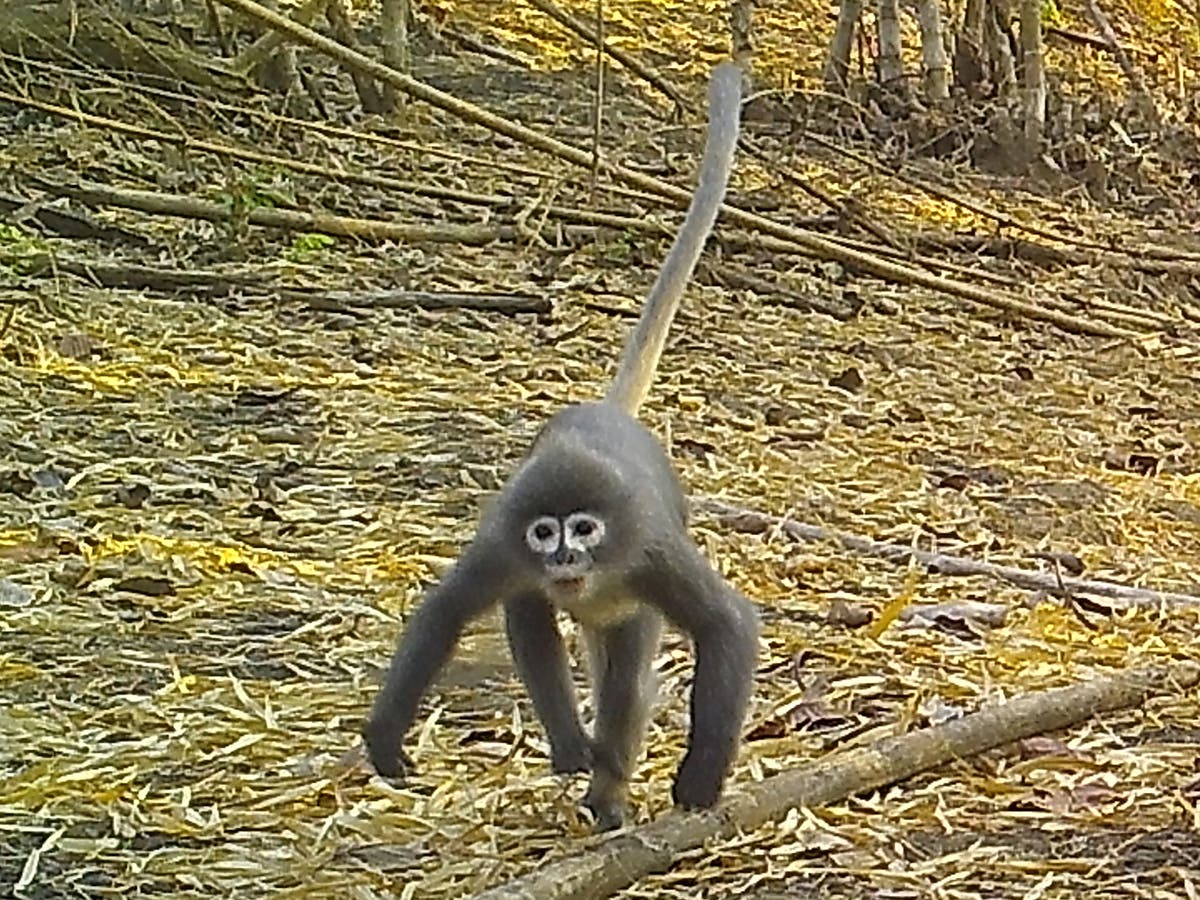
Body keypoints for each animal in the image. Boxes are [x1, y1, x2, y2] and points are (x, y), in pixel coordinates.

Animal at [363, 61, 758, 831]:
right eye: (546, 533)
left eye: (585, 530)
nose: (565, 558)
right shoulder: (504, 543)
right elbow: (446, 612)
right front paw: (386, 735)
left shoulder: (648, 550)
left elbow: (726, 624)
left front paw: (700, 780)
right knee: (530, 618)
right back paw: (578, 752)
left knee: (625, 683)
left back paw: (607, 788)